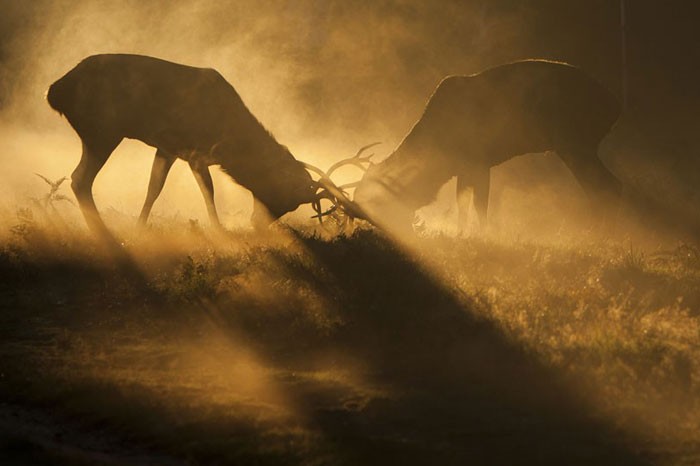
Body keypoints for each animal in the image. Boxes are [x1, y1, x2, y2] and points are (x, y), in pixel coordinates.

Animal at [46, 54, 358, 237]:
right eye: (287, 198)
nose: (257, 224)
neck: (231, 141)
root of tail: (54, 91)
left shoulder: (168, 148)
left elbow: (153, 188)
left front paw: (140, 228)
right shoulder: (196, 152)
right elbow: (208, 193)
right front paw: (219, 231)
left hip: (99, 133)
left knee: (79, 178)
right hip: (102, 130)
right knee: (79, 178)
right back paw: (101, 232)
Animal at [348, 59, 620, 233]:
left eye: (376, 201)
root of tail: (614, 105)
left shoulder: (478, 162)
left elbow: (479, 207)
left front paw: (482, 236)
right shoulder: (465, 168)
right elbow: (463, 205)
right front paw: (461, 235)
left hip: (574, 143)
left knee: (606, 187)